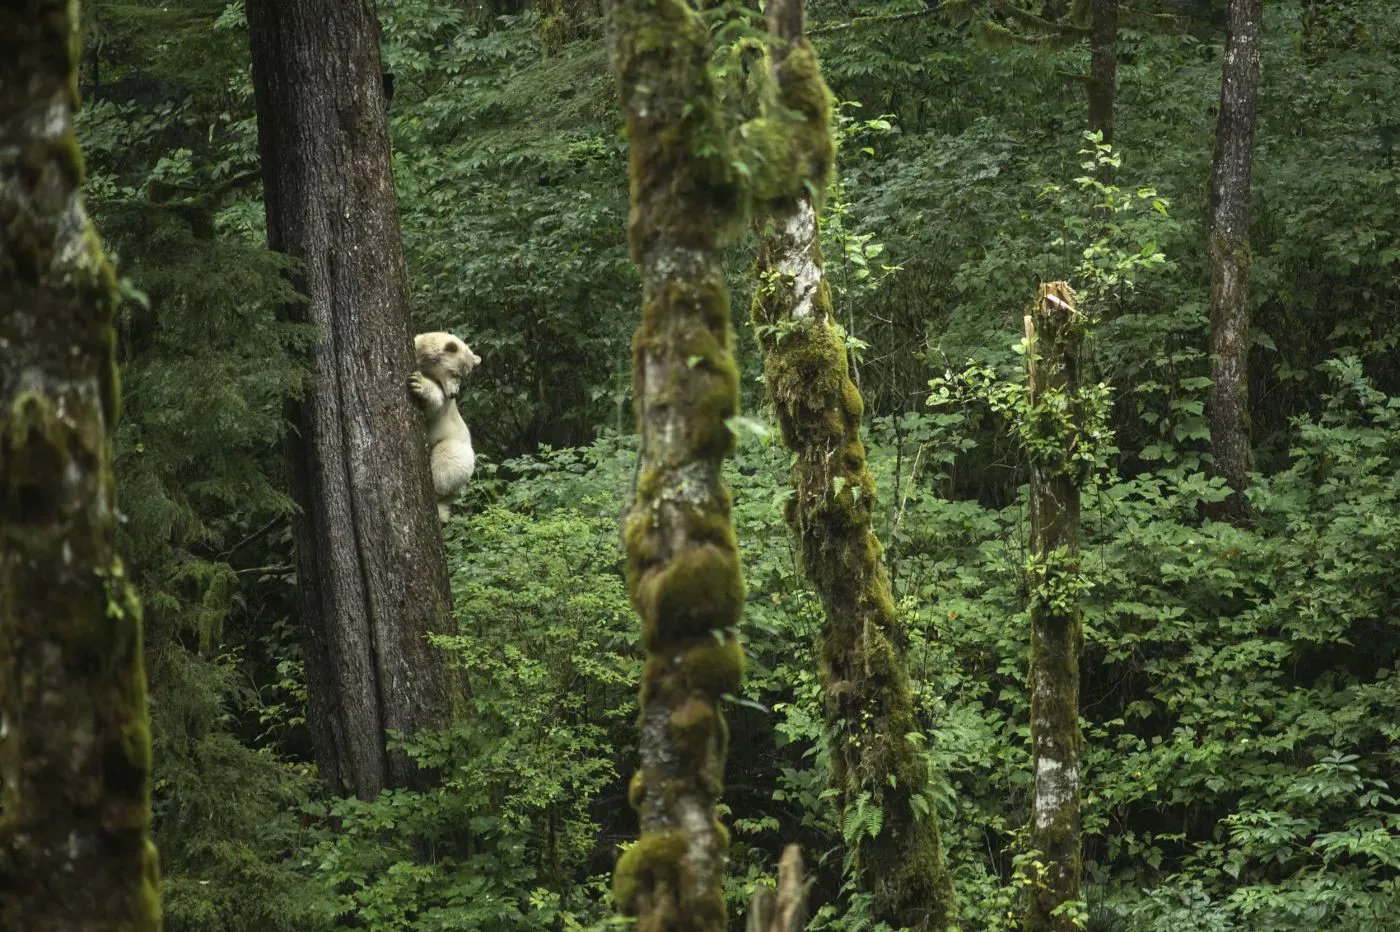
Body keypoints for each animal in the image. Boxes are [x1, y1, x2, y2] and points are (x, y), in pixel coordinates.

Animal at [408, 331, 481, 523]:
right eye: (454, 372)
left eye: (464, 375)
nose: (454, 394)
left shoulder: (443, 405)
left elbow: (434, 405)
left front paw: (418, 383)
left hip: (459, 453)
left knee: (447, 457)